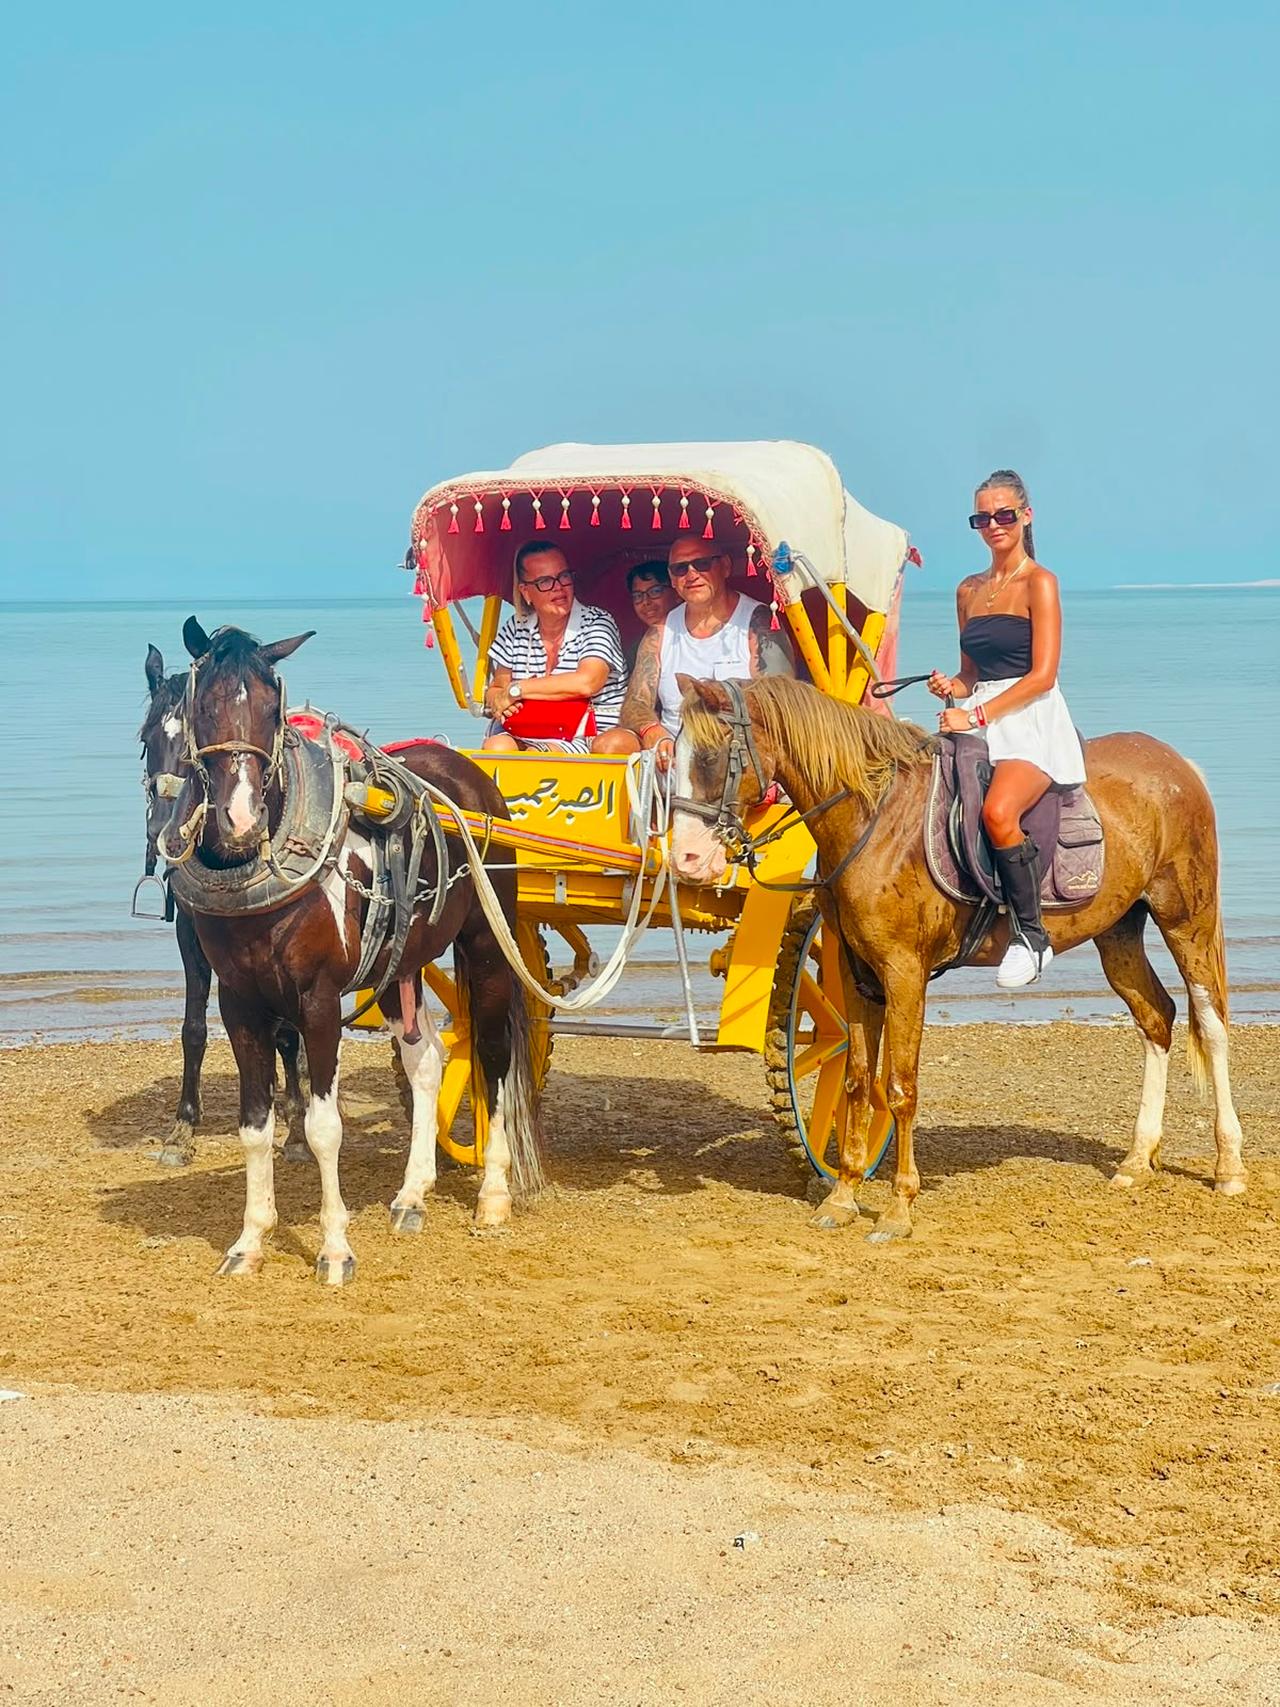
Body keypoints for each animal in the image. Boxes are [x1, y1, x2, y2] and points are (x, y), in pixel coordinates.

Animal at [140, 645, 306, 1165]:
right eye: (147, 738)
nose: (163, 831)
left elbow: (285, 1034)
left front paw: (296, 1132)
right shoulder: (191, 931)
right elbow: (195, 1027)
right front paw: (182, 1130)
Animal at [158, 618, 543, 1284]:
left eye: (272, 708)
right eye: (203, 706)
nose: (239, 819)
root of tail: (466, 774)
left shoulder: (316, 1002)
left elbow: (323, 1128)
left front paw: (334, 1248)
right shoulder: (240, 1003)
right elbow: (255, 1127)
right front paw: (250, 1240)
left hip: (487, 948)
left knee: (494, 1056)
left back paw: (493, 1194)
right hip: (398, 965)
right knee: (427, 1061)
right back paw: (413, 1193)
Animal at [670, 674, 1247, 1243]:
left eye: (712, 756)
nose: (685, 858)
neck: (878, 819)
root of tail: (1175, 765)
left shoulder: (904, 973)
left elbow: (899, 1087)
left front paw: (899, 1208)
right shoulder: (857, 973)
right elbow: (857, 1082)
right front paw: (843, 1196)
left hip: (1186, 922)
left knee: (1212, 1025)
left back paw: (1229, 1166)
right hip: (1118, 933)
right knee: (1157, 1018)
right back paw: (1137, 1159)